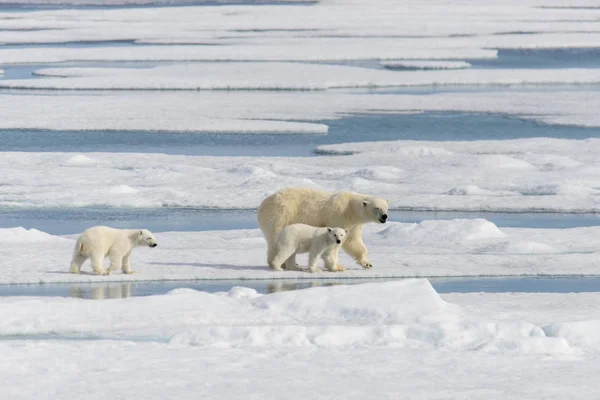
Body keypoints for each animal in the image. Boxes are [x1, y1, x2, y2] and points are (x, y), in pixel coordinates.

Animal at [256, 188, 390, 272]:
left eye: (386, 207)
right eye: (377, 208)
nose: (385, 216)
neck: (350, 209)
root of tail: (262, 205)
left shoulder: (353, 225)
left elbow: (353, 241)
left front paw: (367, 263)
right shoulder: (338, 216)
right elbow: (335, 244)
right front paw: (338, 267)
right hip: (281, 215)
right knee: (276, 240)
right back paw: (280, 263)